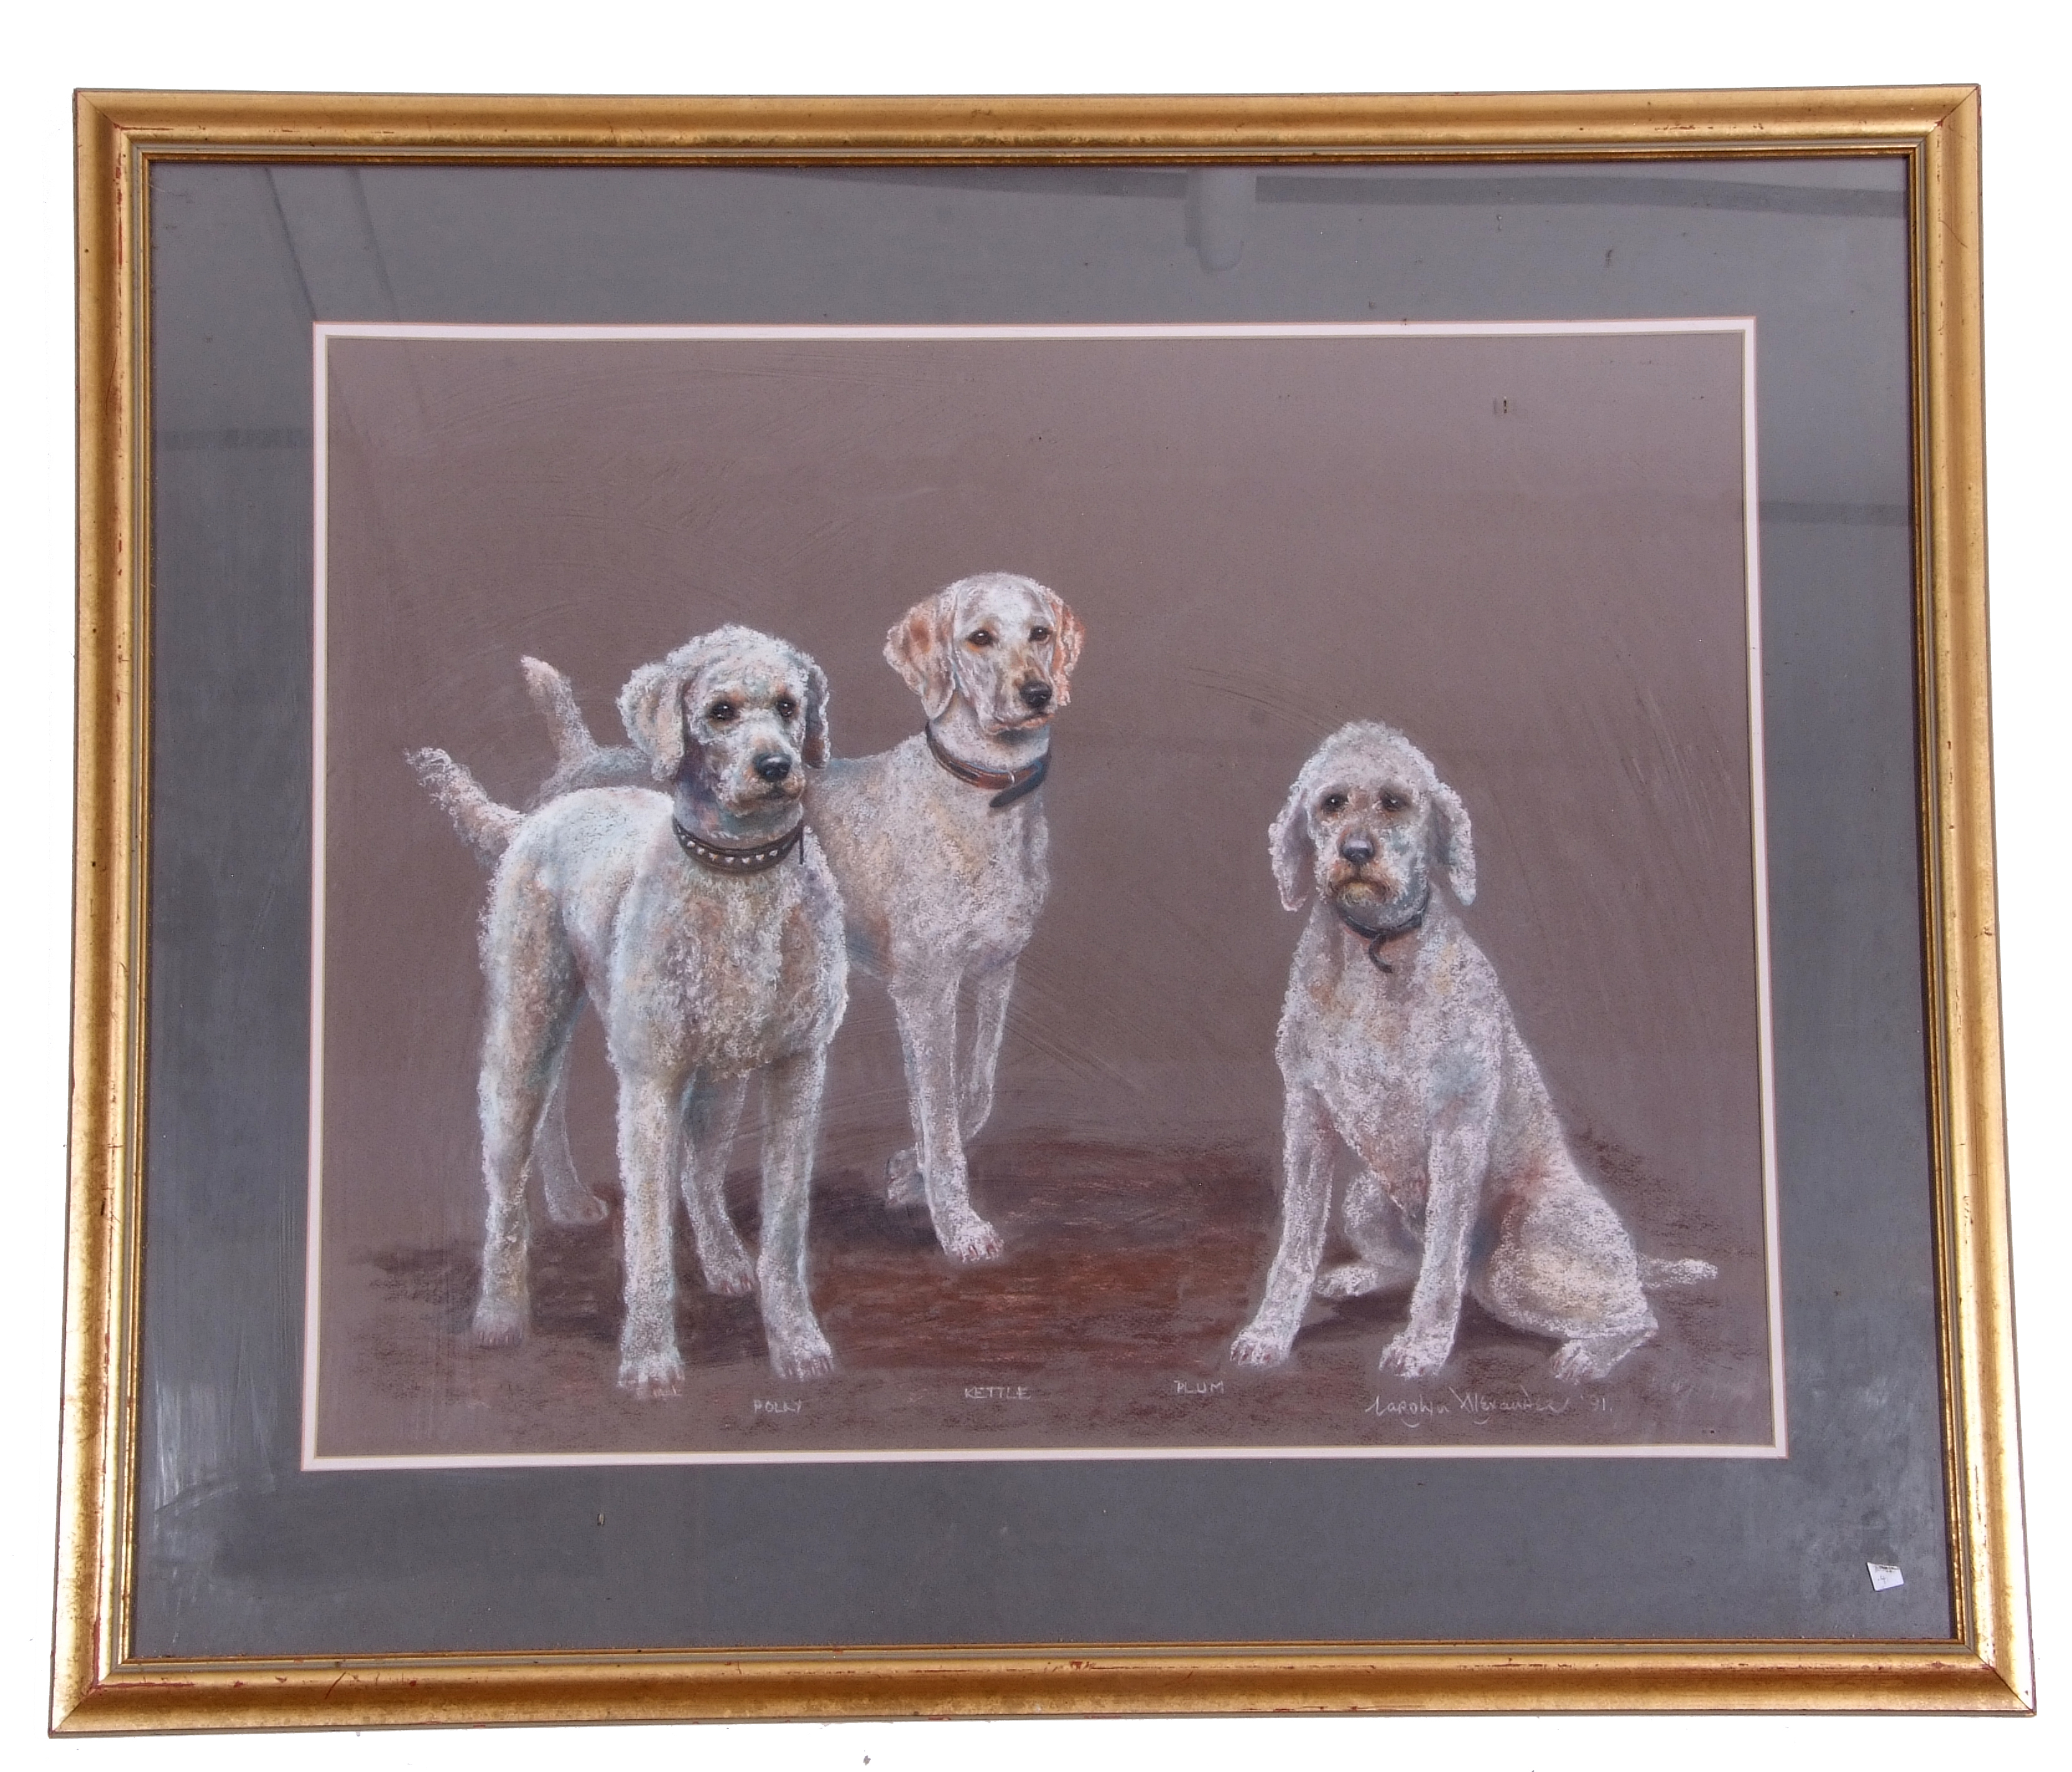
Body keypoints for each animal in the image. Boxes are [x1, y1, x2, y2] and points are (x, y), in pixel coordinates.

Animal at [408, 625, 845, 1401]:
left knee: (694, 1170)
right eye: (721, 711)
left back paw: (713, 1255)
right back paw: (499, 1312)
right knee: (507, 1183)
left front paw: (797, 1343)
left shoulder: (798, 1068)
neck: (738, 875)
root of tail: (536, 816)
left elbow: (784, 1230)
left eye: (790, 705)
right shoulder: (649, 1084)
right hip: (525, 1028)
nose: (776, 767)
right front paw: (648, 1360)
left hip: (719, 1076)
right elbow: (646, 1239)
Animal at [1226, 721, 1716, 1384]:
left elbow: (1441, 1264)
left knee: (1635, 1315)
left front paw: (1424, 1347)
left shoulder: (1457, 1126)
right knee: (1408, 1264)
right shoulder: (1307, 1117)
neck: (1377, 955)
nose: (1355, 852)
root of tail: (1635, 1257)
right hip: (1367, 1199)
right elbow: (1296, 1245)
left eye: (1394, 801)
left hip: (1523, 1260)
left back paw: (1585, 1354)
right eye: (1331, 803)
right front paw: (1269, 1333)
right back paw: (1358, 1275)